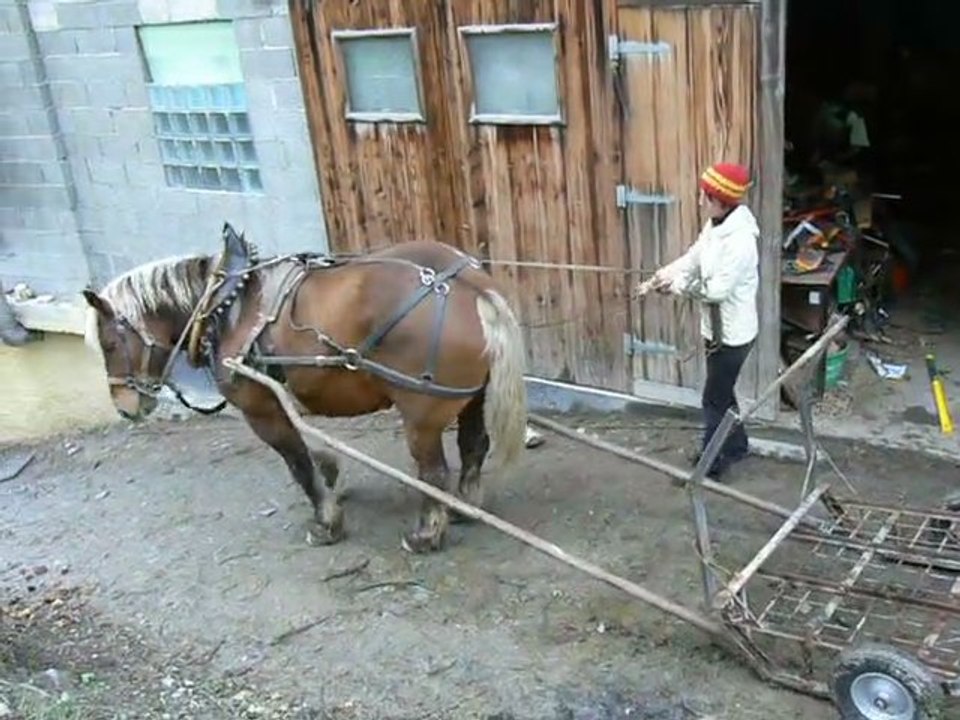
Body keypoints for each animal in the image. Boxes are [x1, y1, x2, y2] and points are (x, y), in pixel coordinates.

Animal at [82, 223, 528, 554]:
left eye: (108, 344)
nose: (124, 405)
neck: (228, 304)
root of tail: (473, 286)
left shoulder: (262, 409)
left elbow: (297, 463)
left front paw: (327, 522)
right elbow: (311, 453)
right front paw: (330, 471)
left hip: (422, 415)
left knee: (432, 471)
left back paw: (426, 534)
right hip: (472, 398)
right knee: (473, 447)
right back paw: (464, 507)